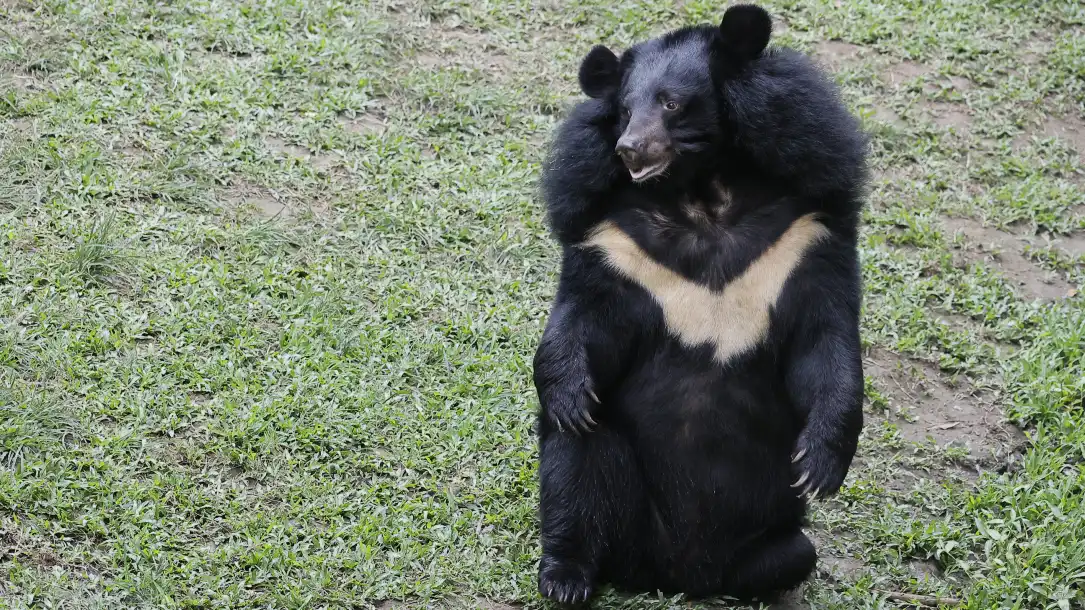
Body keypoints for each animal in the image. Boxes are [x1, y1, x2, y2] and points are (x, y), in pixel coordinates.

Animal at [532, 3, 868, 605]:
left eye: (670, 102)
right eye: (624, 110)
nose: (628, 148)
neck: (703, 195)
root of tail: (678, 576)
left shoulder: (809, 233)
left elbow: (823, 344)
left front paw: (819, 466)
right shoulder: (611, 239)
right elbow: (583, 320)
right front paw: (569, 395)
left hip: (770, 534)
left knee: (793, 556)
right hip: (625, 518)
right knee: (578, 462)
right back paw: (566, 576)